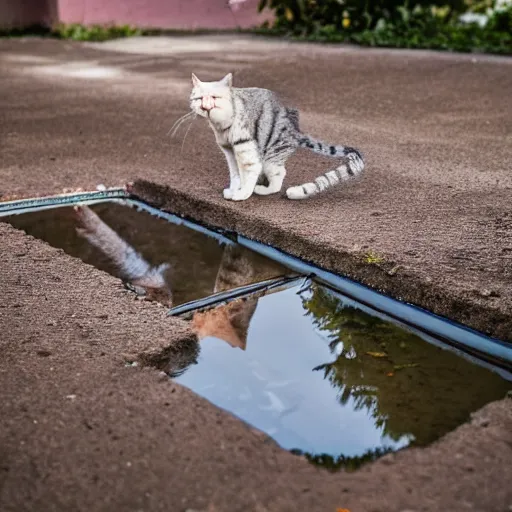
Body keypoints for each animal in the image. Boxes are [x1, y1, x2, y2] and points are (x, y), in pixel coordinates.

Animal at [186, 72, 366, 200]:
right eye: (199, 99)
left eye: (215, 98)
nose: (206, 106)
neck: (220, 125)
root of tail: (296, 131)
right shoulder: (229, 151)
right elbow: (235, 175)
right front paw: (233, 190)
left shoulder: (246, 149)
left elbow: (247, 174)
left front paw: (242, 194)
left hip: (270, 159)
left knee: (280, 175)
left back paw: (263, 190)